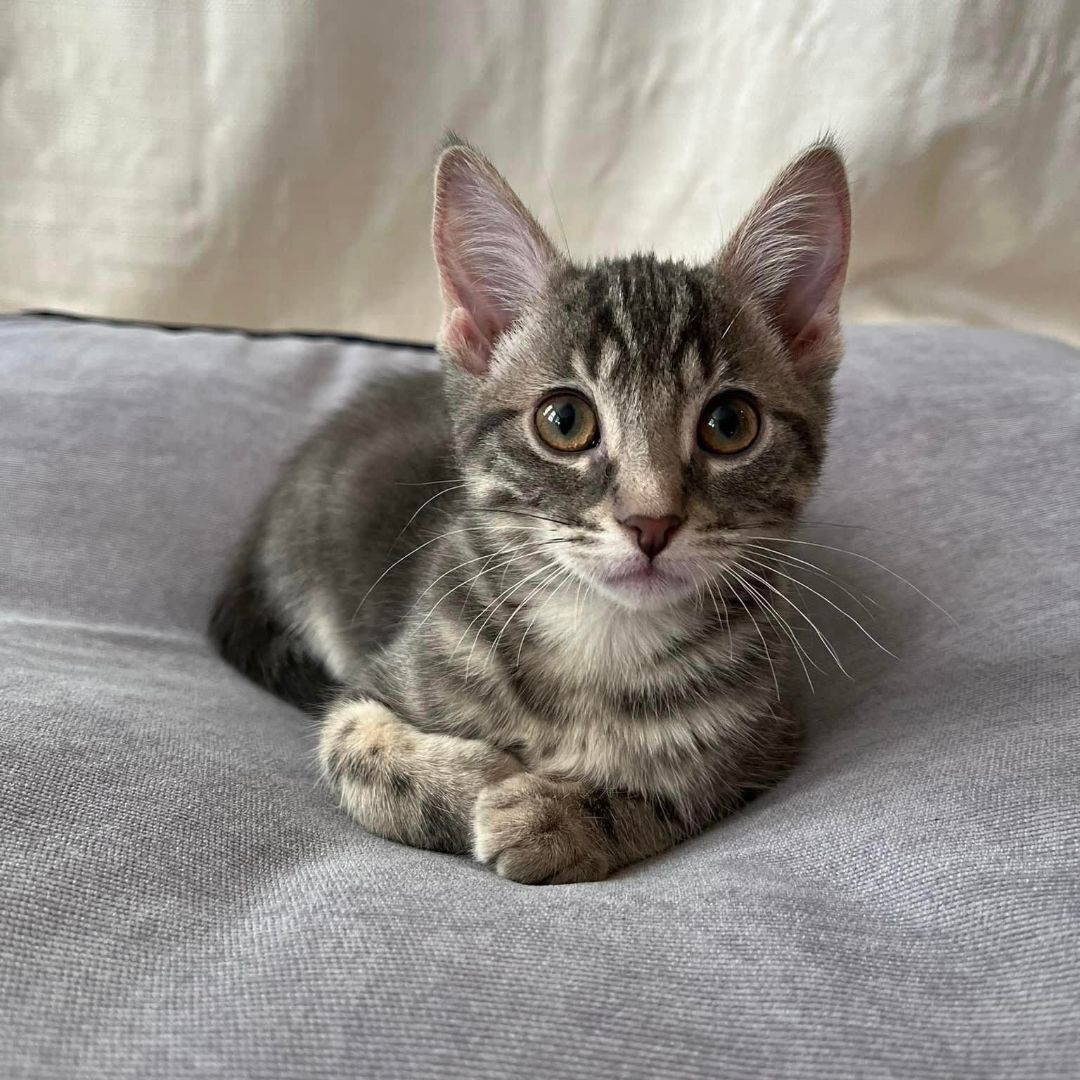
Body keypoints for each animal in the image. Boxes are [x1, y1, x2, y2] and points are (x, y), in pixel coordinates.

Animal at [210, 130, 851, 881]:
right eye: (564, 421)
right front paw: (474, 781)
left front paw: (562, 814)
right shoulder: (380, 677)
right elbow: (351, 746)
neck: (598, 639)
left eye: (730, 424)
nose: (651, 521)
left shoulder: (767, 734)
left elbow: (680, 789)